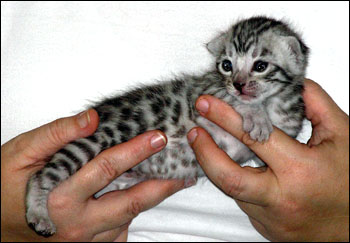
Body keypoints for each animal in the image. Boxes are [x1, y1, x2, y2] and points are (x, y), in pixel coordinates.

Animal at [25, 16, 308, 236]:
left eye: (260, 65)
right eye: (226, 65)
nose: (238, 84)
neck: (274, 103)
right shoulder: (209, 90)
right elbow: (236, 100)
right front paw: (257, 117)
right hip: (96, 138)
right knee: (40, 175)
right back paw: (38, 214)